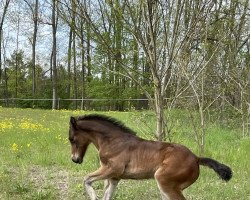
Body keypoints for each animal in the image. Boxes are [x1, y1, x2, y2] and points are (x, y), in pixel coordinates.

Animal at [69, 114, 232, 200]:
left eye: (71, 139)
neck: (113, 141)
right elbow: (106, 195)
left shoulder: (112, 169)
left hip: (164, 181)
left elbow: (86, 179)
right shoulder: (115, 177)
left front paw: (92, 195)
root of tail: (196, 158)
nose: (75, 160)